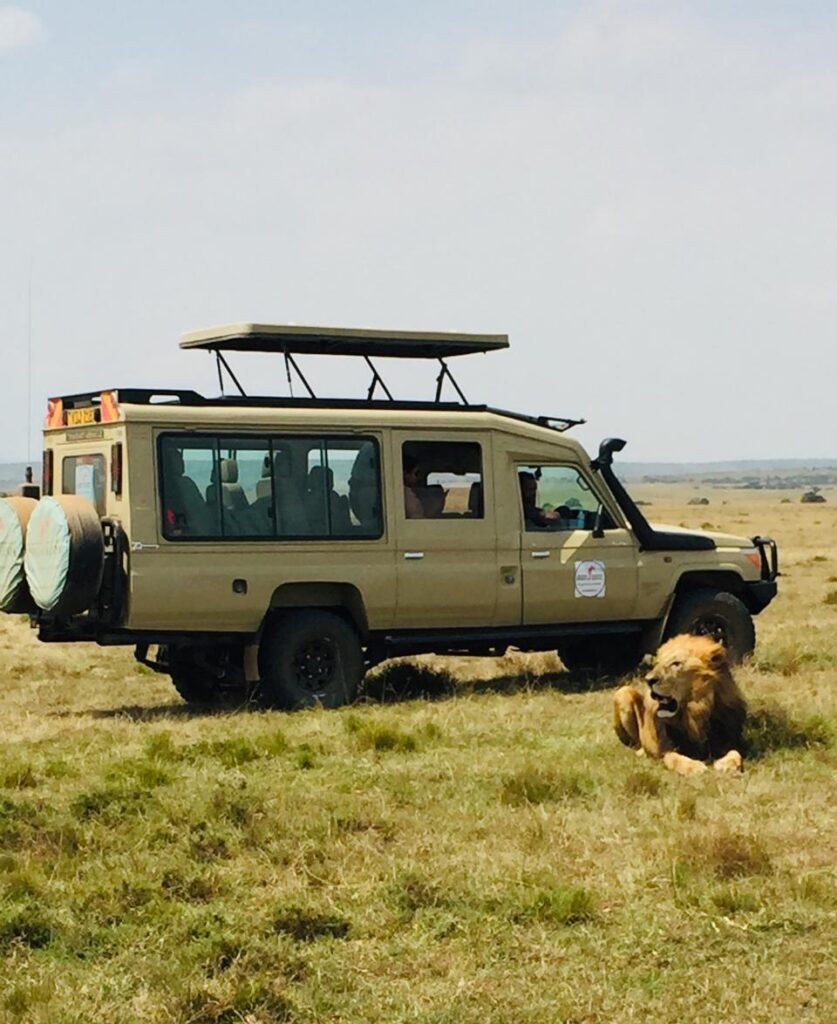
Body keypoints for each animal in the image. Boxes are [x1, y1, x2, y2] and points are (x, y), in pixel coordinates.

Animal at [613, 633, 747, 776]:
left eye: (676, 664)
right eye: (658, 664)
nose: (648, 680)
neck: (695, 710)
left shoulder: (728, 739)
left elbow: (735, 752)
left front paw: (728, 764)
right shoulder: (664, 749)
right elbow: (674, 758)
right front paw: (693, 767)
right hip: (623, 692)